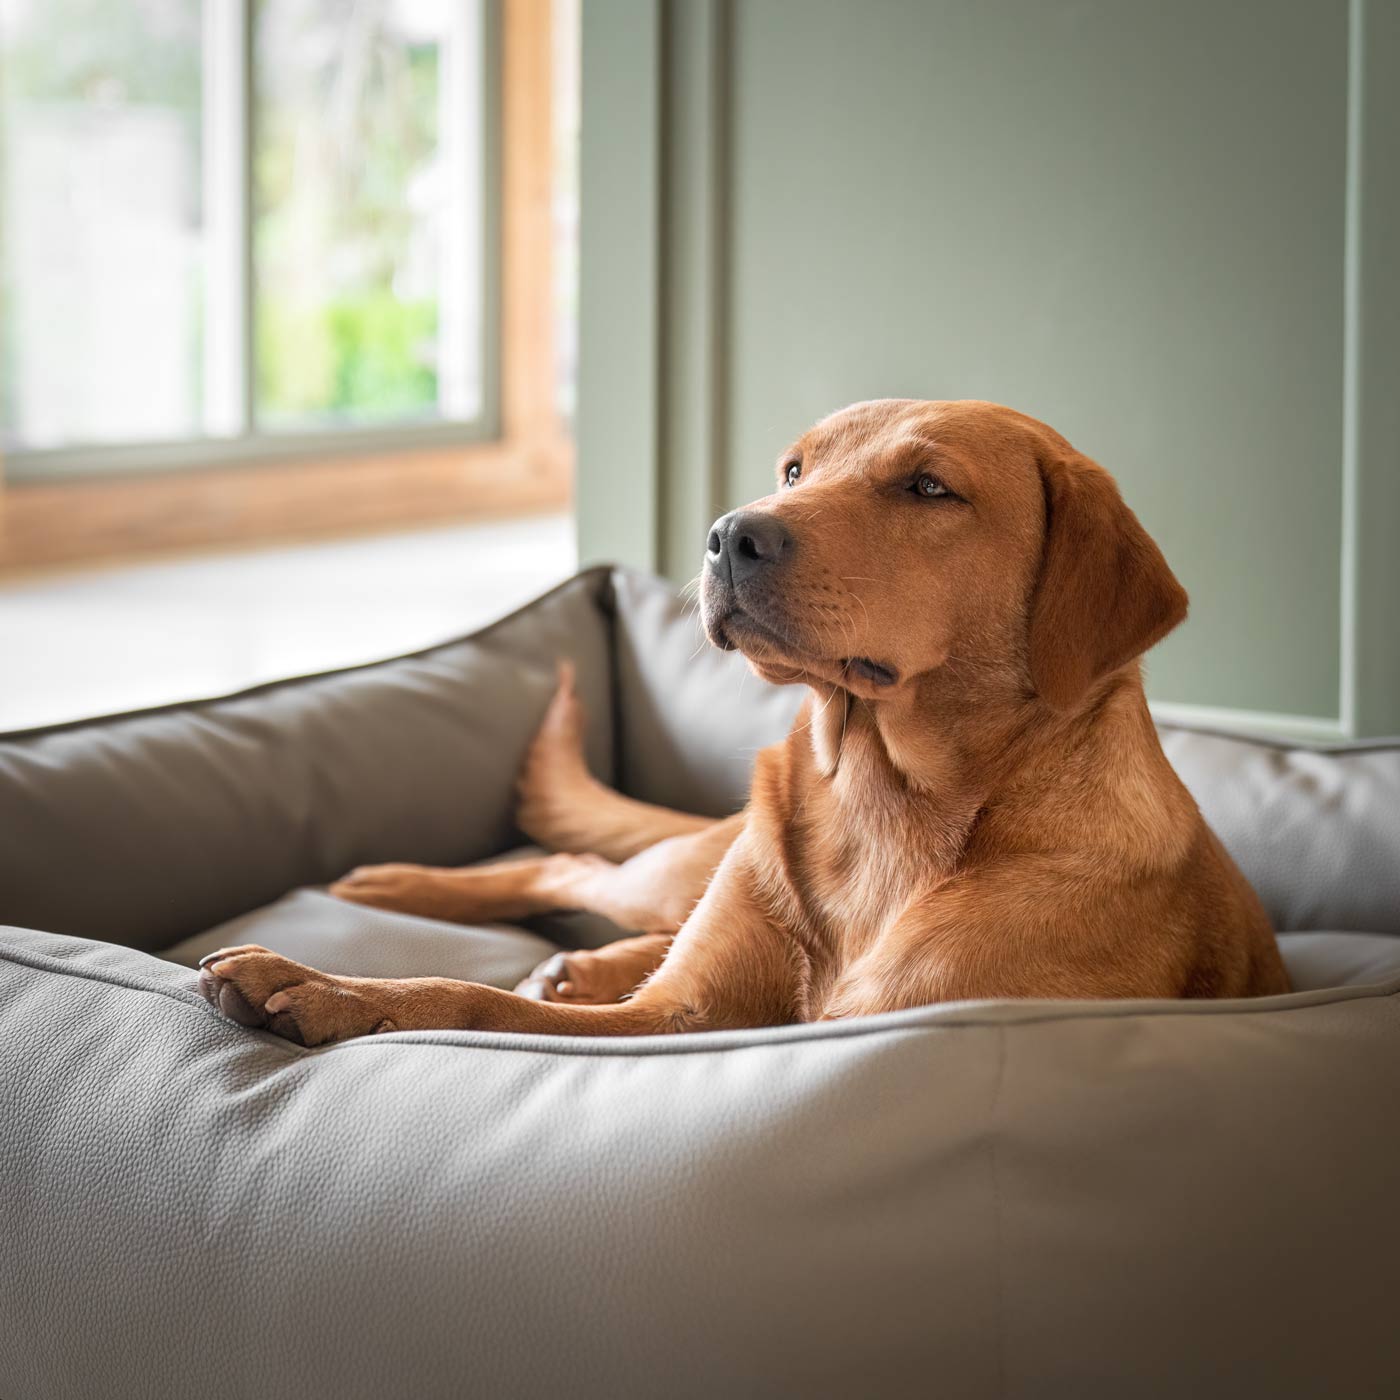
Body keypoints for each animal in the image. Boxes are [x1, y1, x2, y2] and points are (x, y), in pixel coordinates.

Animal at [200, 394, 1288, 1041]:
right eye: (795, 470)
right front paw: (332, 981)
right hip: (689, 869)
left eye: (929, 486)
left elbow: (486, 998)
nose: (729, 534)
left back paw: (572, 961)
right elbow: (465, 994)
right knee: (574, 868)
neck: (882, 800)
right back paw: (406, 887)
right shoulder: (672, 1019)